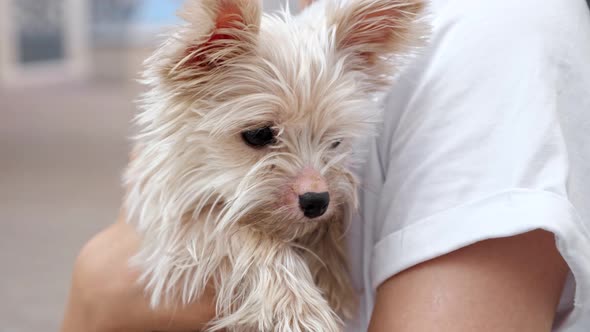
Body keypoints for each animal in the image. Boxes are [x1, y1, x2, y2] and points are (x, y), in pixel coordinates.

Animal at [126, 0, 426, 330]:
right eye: (259, 134)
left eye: (335, 141)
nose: (317, 201)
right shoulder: (174, 233)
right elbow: (239, 234)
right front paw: (298, 309)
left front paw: (333, 278)